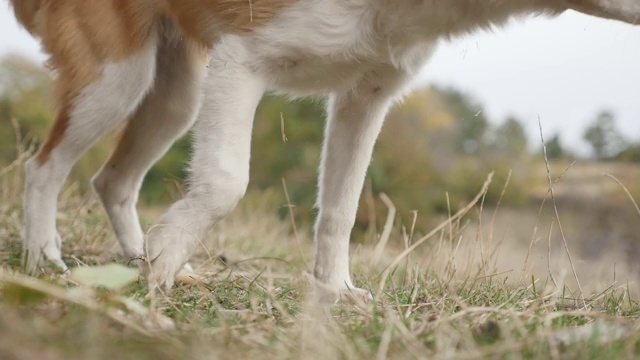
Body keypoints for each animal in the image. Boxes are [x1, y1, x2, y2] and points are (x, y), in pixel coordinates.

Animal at [10, 0, 640, 302]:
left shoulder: (364, 98)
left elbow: (341, 207)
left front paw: (336, 291)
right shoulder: (242, 60)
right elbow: (227, 180)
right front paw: (165, 254)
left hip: (176, 96)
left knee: (112, 180)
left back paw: (142, 261)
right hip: (117, 78)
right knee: (44, 168)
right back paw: (46, 258)